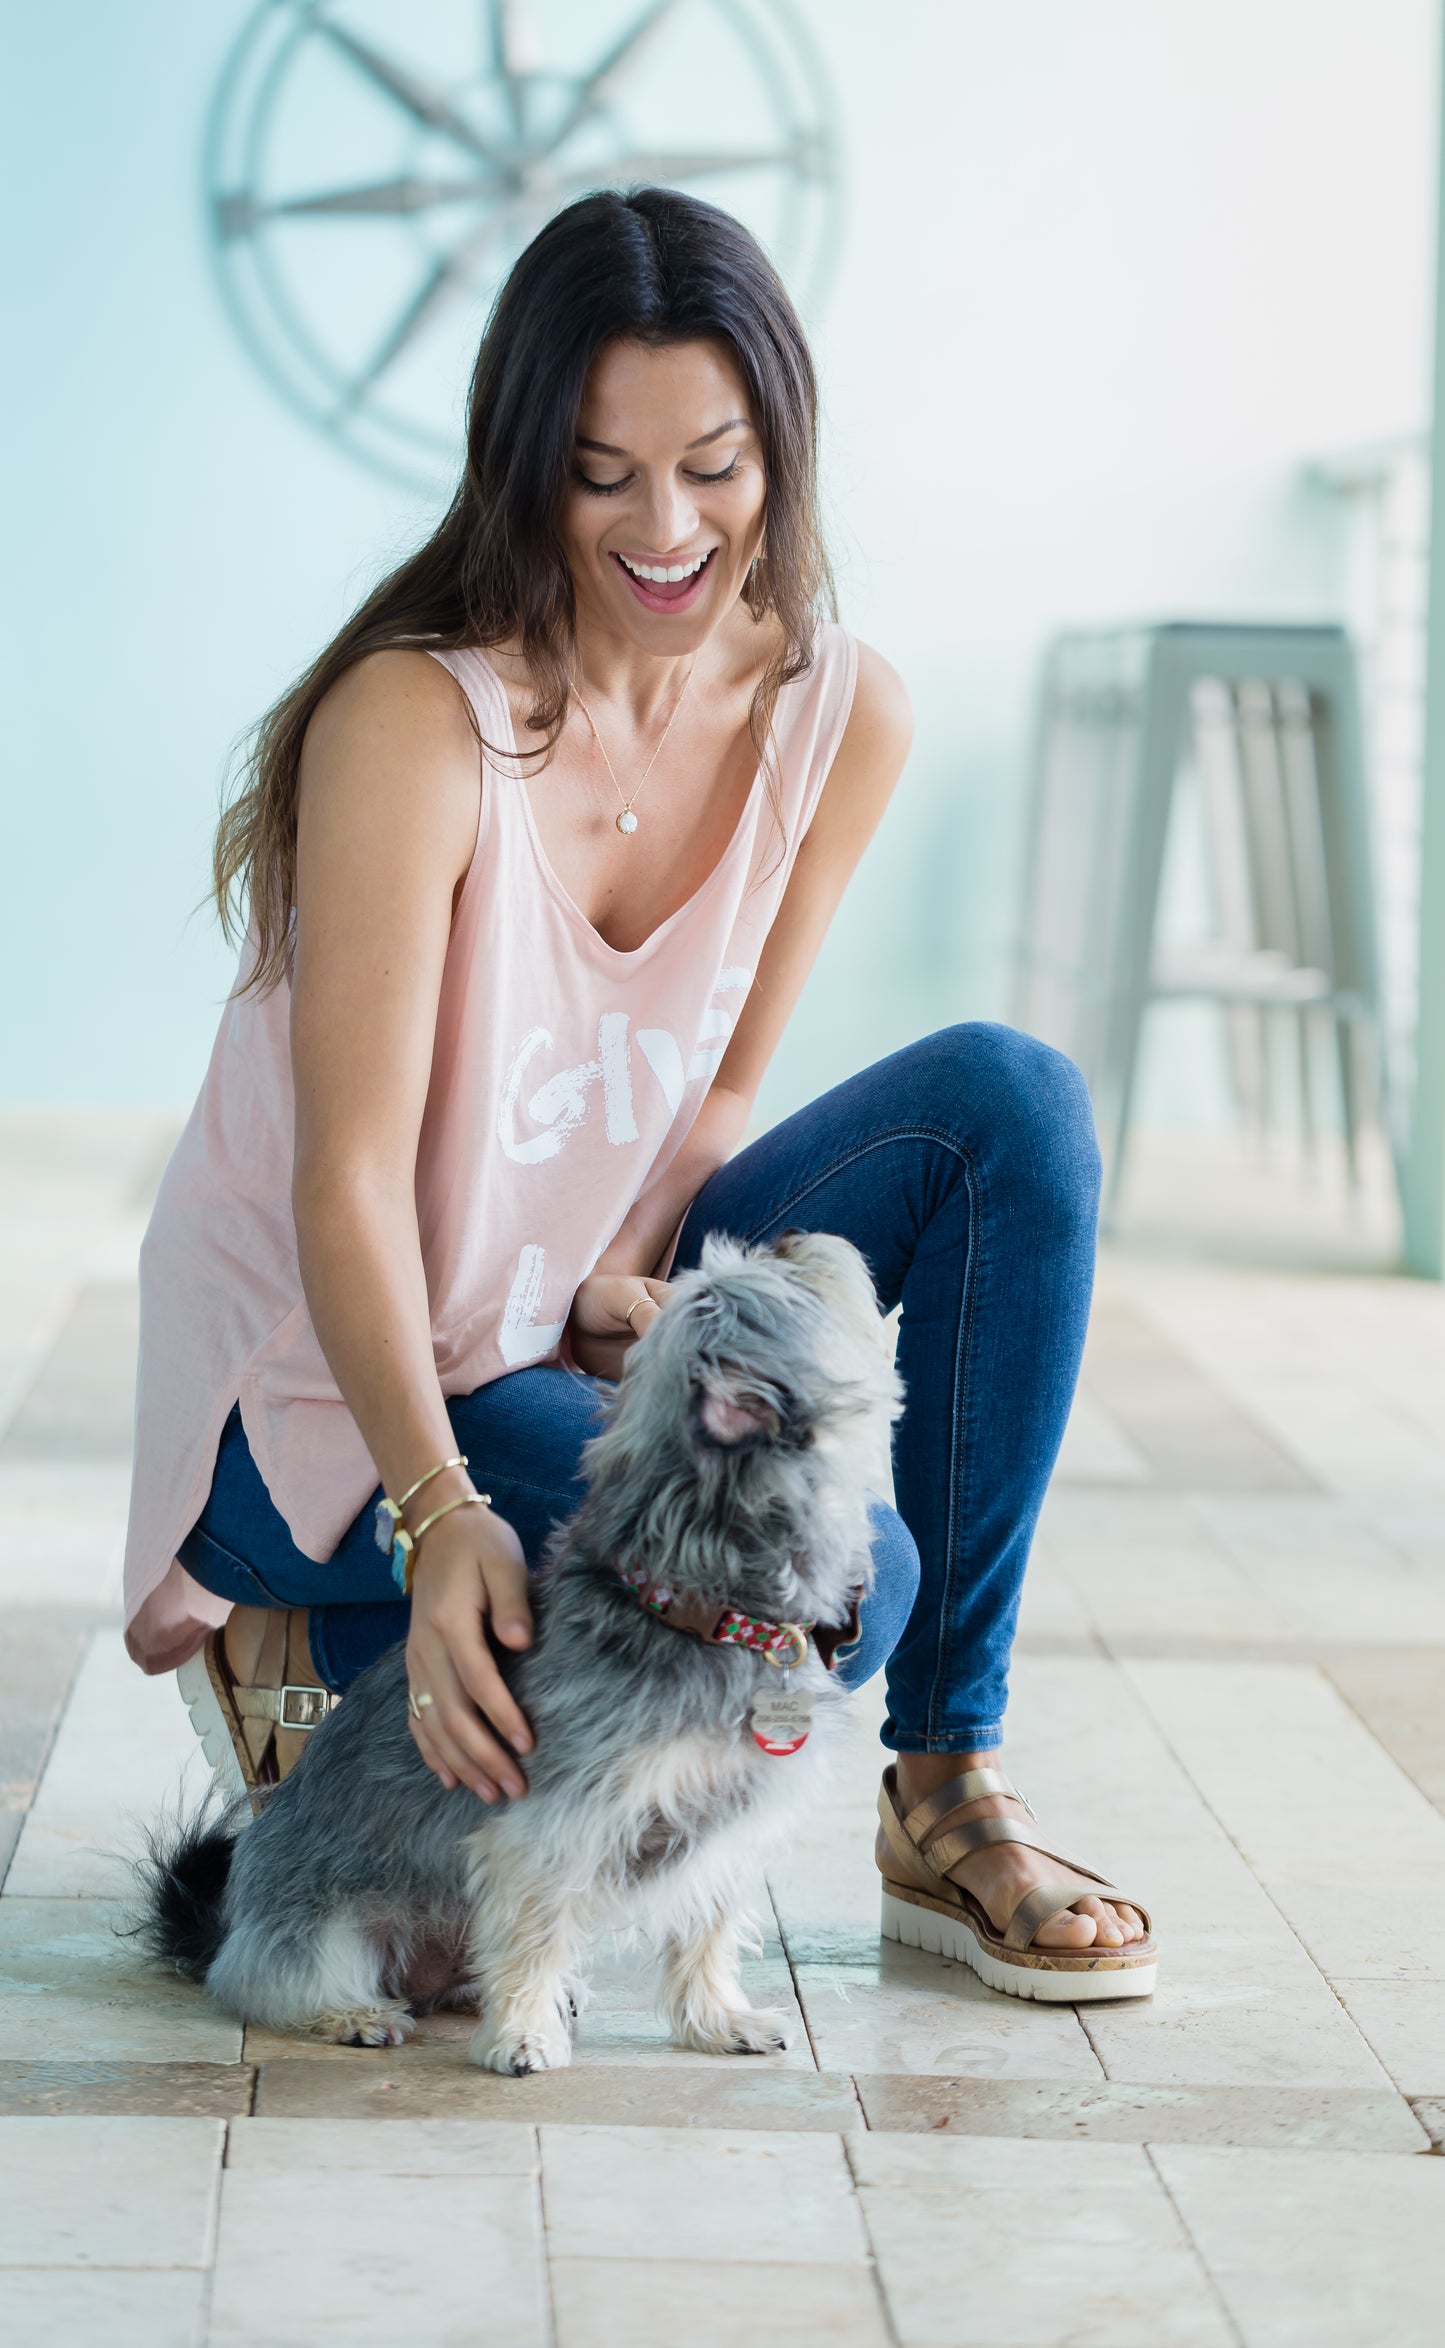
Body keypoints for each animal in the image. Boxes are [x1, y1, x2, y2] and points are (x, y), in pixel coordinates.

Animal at [141, 1230, 897, 2075]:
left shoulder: (719, 1832)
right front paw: (522, 2036)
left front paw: (715, 2019)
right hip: (321, 1926)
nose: (794, 1237)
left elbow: (704, 1930)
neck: (697, 1611)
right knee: (266, 1981)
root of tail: (232, 1921)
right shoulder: (549, 1827)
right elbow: (537, 1932)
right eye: (782, 1280)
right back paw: (351, 2013)